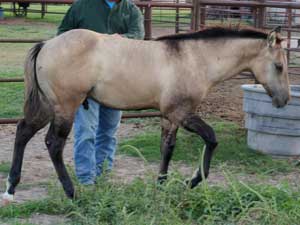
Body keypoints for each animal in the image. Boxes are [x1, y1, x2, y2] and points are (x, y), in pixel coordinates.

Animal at [1, 25, 290, 202]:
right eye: (278, 66)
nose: (284, 100)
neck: (195, 59)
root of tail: (46, 44)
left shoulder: (168, 117)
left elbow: (167, 149)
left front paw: (160, 186)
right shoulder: (181, 113)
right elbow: (211, 138)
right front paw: (192, 181)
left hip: (47, 106)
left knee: (23, 131)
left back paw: (12, 188)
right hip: (65, 107)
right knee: (54, 144)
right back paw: (71, 193)